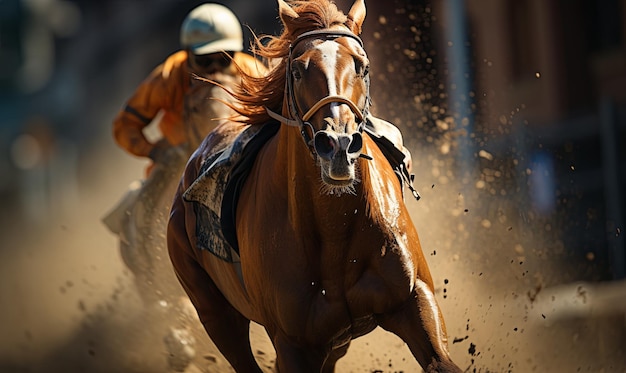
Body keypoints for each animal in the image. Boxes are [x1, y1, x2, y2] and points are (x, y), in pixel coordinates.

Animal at [168, 1, 460, 370]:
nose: (338, 145)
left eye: (362, 66)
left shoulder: (415, 300)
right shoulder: (293, 344)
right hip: (214, 312)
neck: (337, 227)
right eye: (297, 70)